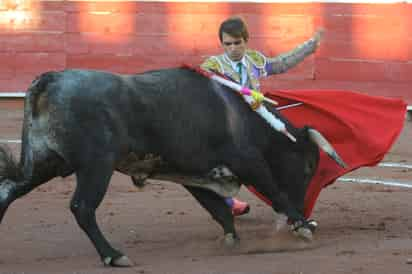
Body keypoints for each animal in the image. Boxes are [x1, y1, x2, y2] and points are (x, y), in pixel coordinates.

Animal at [0, 67, 344, 266]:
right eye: (309, 166)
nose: (307, 209)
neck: (245, 116)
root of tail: (50, 79)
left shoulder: (194, 173)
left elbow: (217, 209)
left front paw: (231, 242)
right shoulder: (248, 161)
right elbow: (275, 192)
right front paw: (303, 226)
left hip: (46, 162)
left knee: (8, 189)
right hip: (97, 165)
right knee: (82, 207)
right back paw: (114, 255)